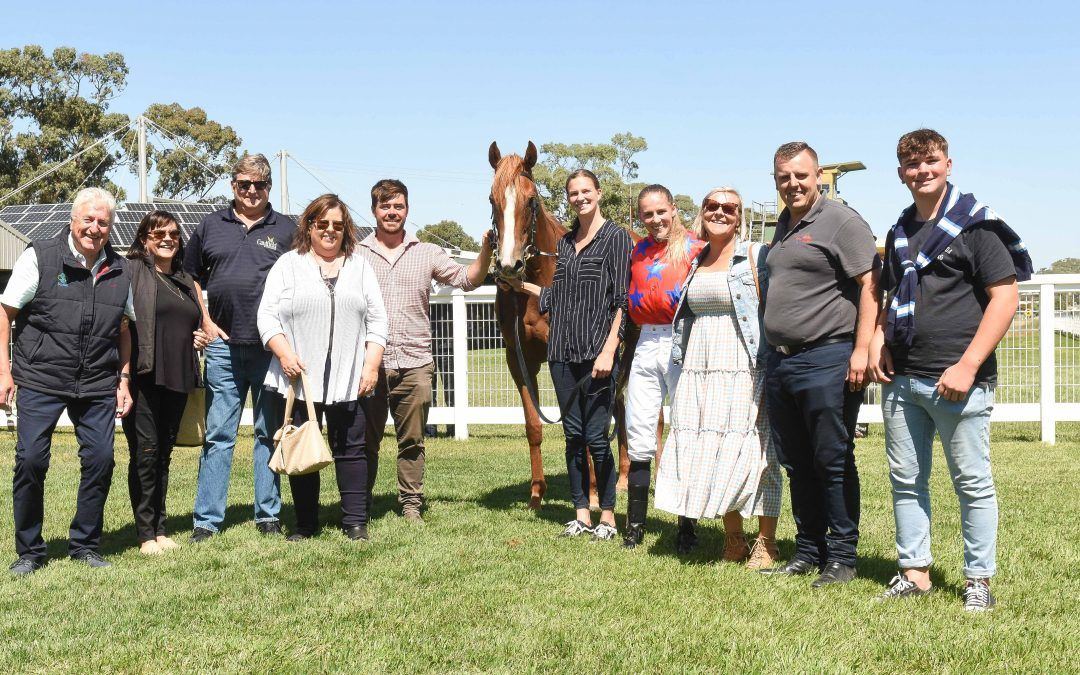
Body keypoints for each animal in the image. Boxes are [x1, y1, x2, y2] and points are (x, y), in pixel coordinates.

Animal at [488, 143, 639, 509]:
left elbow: (582, 428)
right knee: (616, 406)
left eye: (530, 200)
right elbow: (533, 425)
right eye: (492, 199)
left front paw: (594, 495)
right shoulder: (519, 361)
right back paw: (621, 477)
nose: (509, 266)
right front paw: (536, 494)